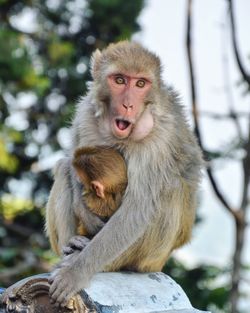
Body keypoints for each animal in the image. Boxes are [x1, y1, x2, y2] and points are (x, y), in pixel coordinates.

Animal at [48, 40, 203, 304]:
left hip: (150, 258)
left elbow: (138, 207)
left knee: (169, 188)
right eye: (119, 80)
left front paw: (76, 272)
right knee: (62, 168)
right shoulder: (84, 113)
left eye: (140, 83)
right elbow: (71, 161)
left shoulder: (159, 138)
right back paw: (72, 244)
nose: (128, 105)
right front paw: (85, 211)